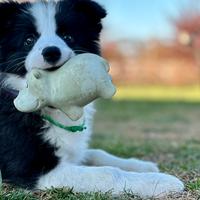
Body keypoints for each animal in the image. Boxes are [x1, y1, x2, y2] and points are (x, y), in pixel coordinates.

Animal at [0, 0, 184, 197]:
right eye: (29, 40)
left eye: (67, 36)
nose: (51, 52)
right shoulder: (35, 170)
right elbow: (108, 173)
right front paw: (161, 182)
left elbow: (97, 153)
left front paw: (140, 165)